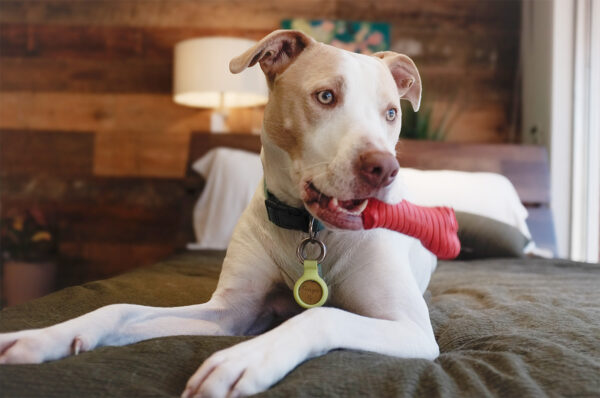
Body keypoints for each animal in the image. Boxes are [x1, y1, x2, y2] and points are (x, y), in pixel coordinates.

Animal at [0, 31, 436, 398]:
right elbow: (120, 309)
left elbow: (319, 317)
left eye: (391, 113)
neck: (308, 229)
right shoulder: (229, 313)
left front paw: (244, 359)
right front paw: (44, 337)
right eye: (326, 96)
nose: (384, 168)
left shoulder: (410, 328)